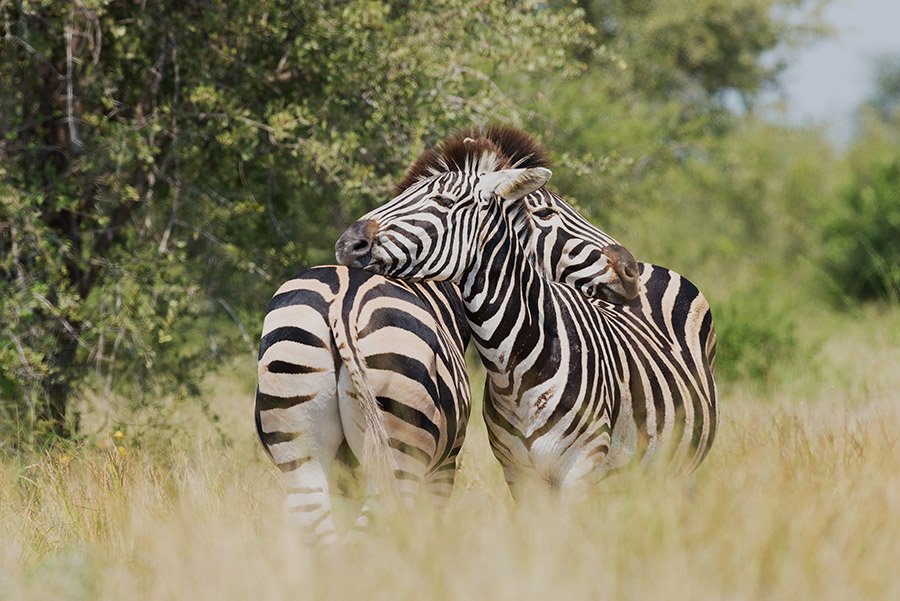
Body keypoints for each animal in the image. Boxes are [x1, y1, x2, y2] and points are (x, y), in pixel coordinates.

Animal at [257, 129, 643, 542]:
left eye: (441, 200)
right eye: (545, 214)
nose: (631, 269)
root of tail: (341, 305)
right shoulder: (444, 465)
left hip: (302, 450)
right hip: (400, 452)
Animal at [335, 127, 717, 495]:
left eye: (443, 201)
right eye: (546, 212)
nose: (630, 270)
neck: (516, 368)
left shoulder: (580, 468)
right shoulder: (518, 474)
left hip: (680, 468)